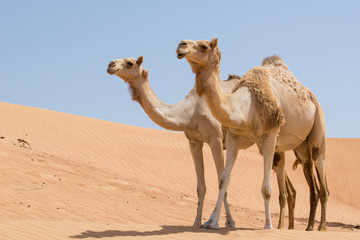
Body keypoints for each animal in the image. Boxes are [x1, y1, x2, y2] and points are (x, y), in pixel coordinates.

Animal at [106, 55, 239, 227]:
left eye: (130, 63)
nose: (110, 65)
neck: (190, 112)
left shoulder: (215, 138)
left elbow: (221, 181)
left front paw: (226, 222)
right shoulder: (194, 141)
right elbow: (200, 186)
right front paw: (196, 222)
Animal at [176, 38, 330, 231]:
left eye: (204, 46)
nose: (181, 45)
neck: (247, 107)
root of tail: (312, 97)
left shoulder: (270, 135)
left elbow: (266, 189)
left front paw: (268, 226)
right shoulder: (234, 135)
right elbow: (223, 180)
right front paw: (211, 222)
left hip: (319, 125)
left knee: (321, 172)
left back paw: (321, 227)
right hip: (301, 146)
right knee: (308, 170)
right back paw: (309, 227)